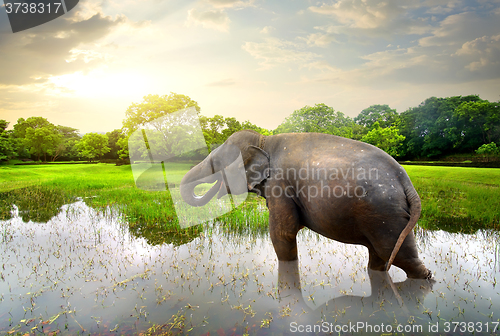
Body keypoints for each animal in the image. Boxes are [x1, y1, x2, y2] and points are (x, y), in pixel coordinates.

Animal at [181, 130, 434, 280]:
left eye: (216, 162)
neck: (264, 140)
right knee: (381, 256)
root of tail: (404, 179)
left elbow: (282, 233)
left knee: (400, 257)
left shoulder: (280, 185)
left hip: (385, 213)